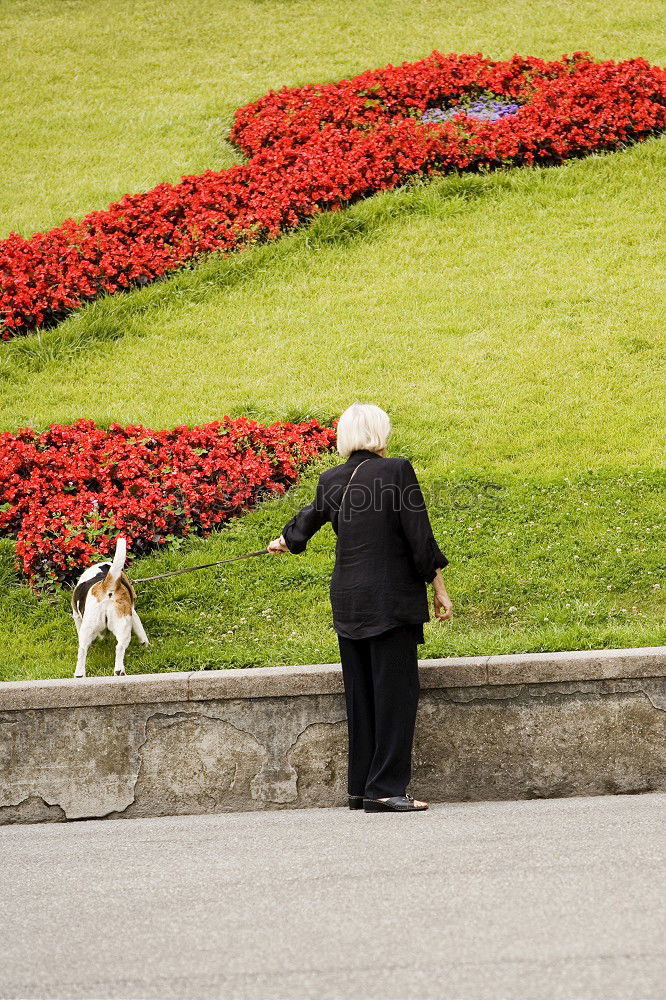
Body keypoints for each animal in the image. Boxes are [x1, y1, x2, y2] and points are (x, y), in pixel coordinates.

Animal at [72, 540, 148, 680]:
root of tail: (106, 586)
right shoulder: (132, 613)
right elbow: (142, 634)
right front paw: (146, 646)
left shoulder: (77, 616)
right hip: (123, 623)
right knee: (120, 647)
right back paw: (119, 670)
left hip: (90, 626)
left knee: (82, 649)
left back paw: (80, 674)